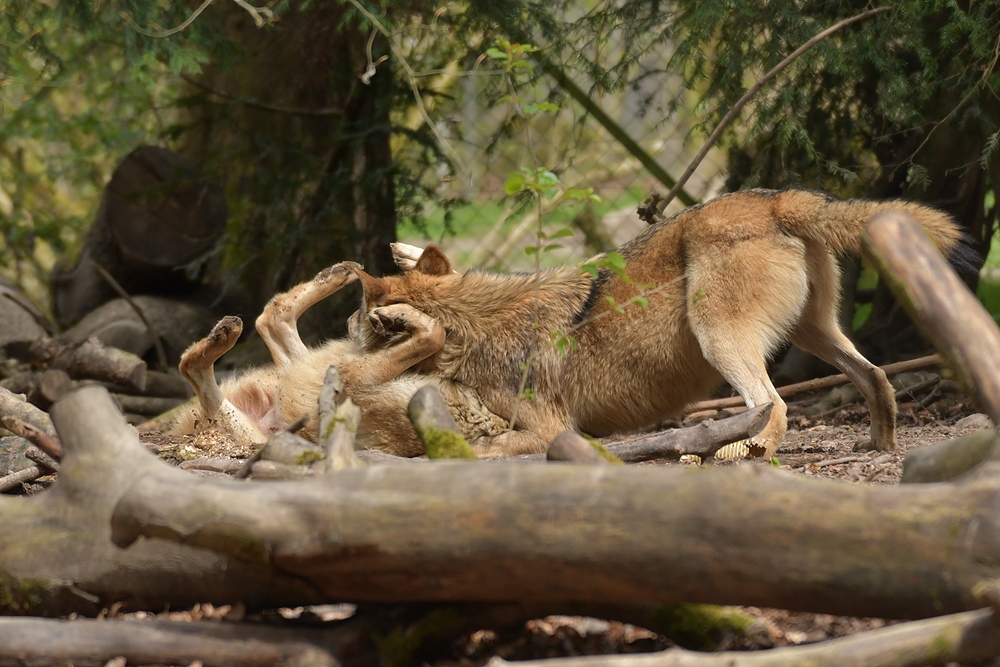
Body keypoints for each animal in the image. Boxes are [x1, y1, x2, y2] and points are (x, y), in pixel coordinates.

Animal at [171, 247, 508, 460]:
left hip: (255, 432)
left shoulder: (358, 376)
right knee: (270, 317)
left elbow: (435, 331)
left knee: (195, 365)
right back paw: (339, 272)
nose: (352, 319)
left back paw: (224, 334)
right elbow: (434, 328)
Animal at [358, 188, 960, 460]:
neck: (473, 322)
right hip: (812, 332)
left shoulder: (551, 428)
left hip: (720, 338)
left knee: (775, 404)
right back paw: (880, 446)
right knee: (875, 376)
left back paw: (734, 454)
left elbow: (491, 446)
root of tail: (775, 198)